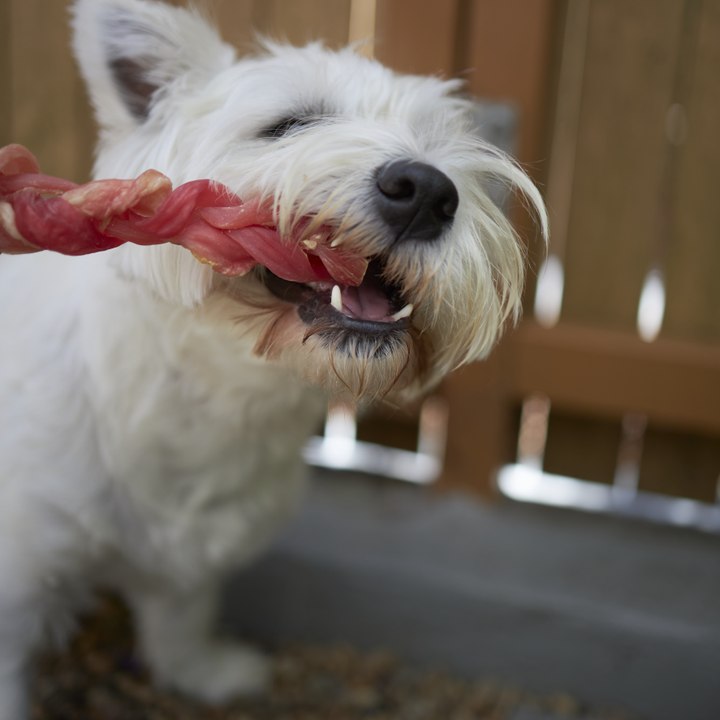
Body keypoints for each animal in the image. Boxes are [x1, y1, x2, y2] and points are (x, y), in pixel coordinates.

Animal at [0, 0, 544, 716]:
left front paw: (203, 674)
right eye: (288, 125)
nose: (427, 190)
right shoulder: (19, 581)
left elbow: (181, 616)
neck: (213, 400)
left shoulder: (195, 556)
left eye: (445, 150)